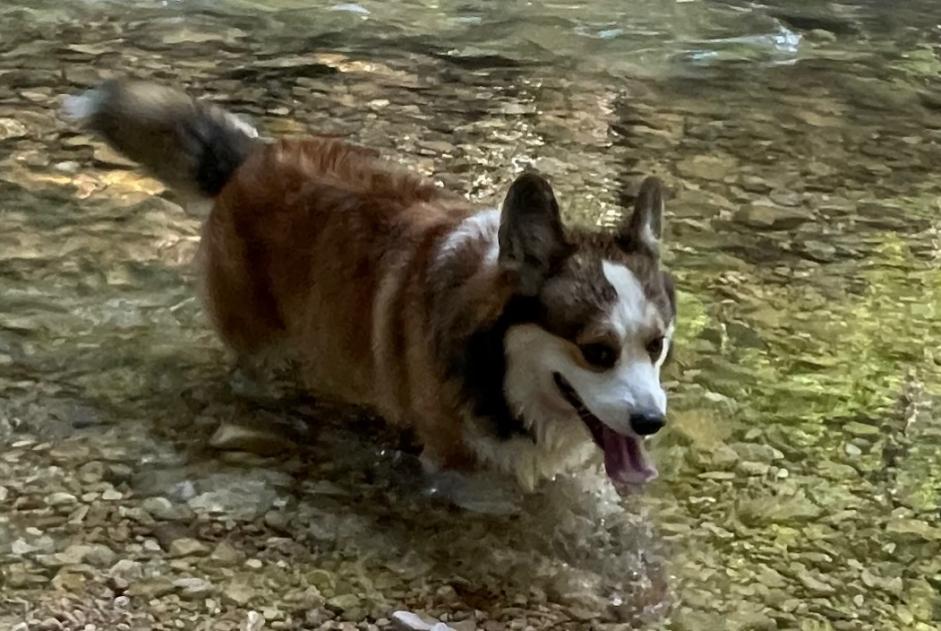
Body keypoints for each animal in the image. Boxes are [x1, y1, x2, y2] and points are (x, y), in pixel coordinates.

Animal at [66, 79, 680, 494]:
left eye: (656, 345)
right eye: (597, 351)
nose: (653, 424)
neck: (497, 370)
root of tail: (255, 156)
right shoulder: (453, 464)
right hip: (256, 336)